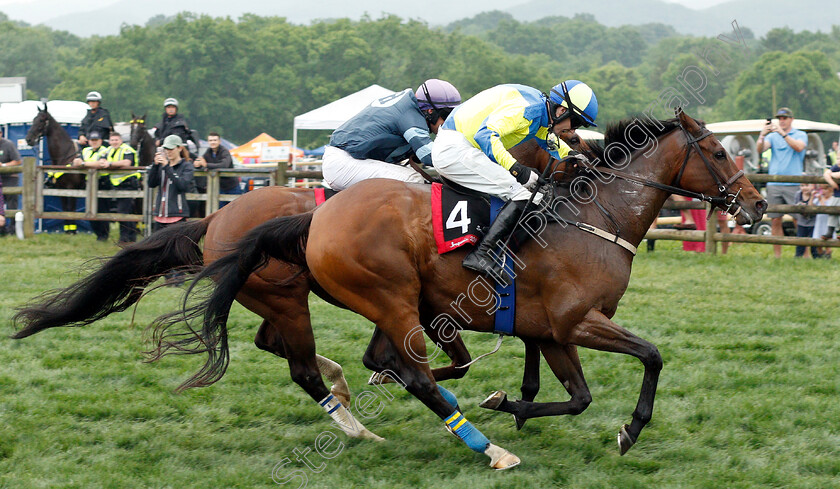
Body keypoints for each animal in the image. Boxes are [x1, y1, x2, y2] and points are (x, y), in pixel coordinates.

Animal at [177, 110, 768, 468]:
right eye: (719, 152)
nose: (758, 203)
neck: (593, 217)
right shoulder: (577, 321)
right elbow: (651, 355)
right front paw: (631, 428)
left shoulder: (551, 331)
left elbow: (575, 395)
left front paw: (514, 403)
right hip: (377, 298)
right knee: (400, 373)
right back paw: (482, 446)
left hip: (348, 303)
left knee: (323, 355)